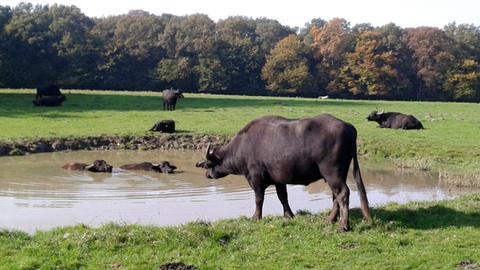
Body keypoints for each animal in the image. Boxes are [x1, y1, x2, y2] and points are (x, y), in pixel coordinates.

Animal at [195, 114, 372, 232]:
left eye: (209, 164)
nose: (207, 174)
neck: (243, 146)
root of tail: (348, 126)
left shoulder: (255, 178)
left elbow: (259, 199)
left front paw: (256, 217)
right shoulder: (279, 180)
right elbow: (283, 197)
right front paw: (289, 215)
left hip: (332, 173)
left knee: (342, 193)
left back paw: (343, 225)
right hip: (337, 174)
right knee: (336, 196)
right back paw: (330, 219)